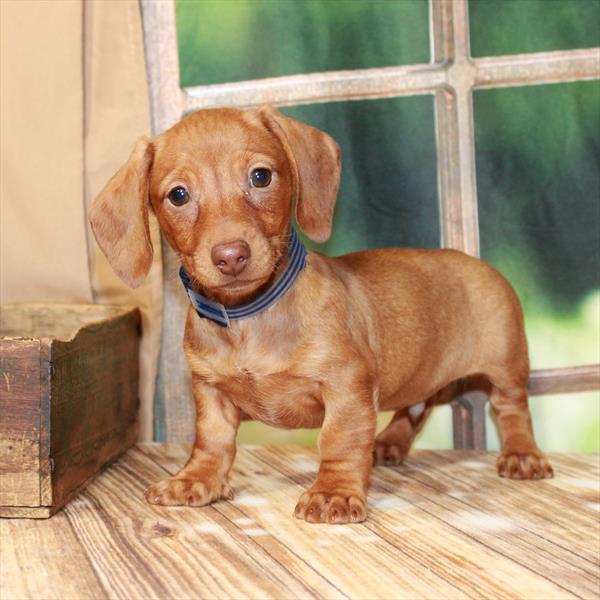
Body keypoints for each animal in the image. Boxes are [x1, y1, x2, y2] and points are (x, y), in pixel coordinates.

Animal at [90, 108, 552, 524]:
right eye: (178, 195)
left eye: (261, 176)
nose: (231, 256)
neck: (249, 318)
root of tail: (476, 262)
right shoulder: (210, 392)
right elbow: (212, 442)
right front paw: (196, 479)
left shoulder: (346, 389)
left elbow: (338, 442)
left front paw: (334, 492)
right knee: (415, 408)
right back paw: (389, 444)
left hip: (507, 365)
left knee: (512, 409)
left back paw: (522, 455)